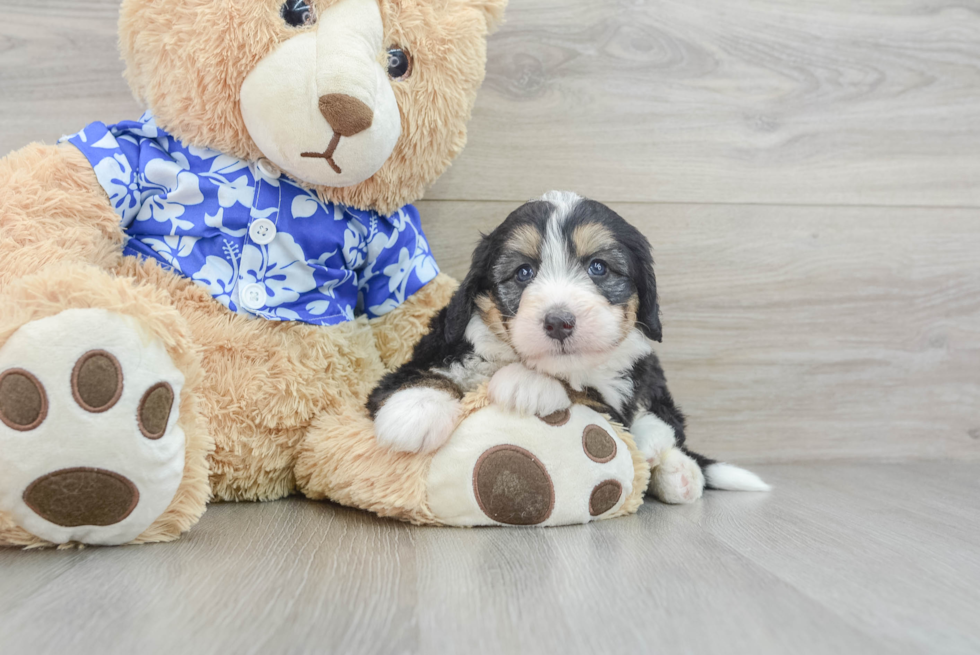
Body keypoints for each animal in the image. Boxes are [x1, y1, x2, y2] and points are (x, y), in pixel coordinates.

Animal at [366, 192, 764, 504]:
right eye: (524, 272)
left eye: (598, 268)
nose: (559, 322)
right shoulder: (443, 343)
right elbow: (423, 371)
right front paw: (414, 410)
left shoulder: (615, 398)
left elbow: (585, 387)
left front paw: (526, 382)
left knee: (668, 419)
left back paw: (677, 470)